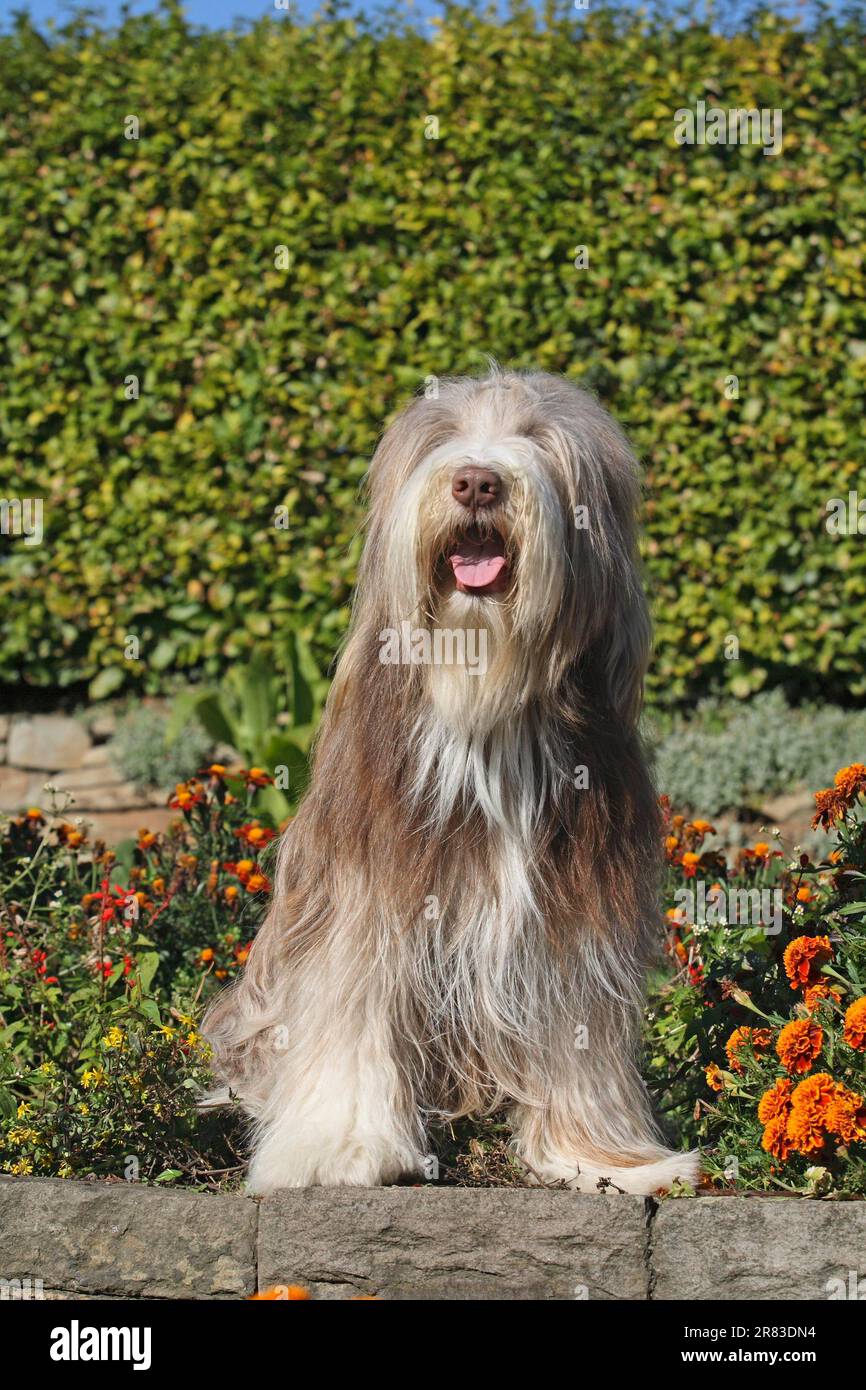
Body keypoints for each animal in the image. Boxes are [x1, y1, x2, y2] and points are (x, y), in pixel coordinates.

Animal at [204, 369, 706, 1195]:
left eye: (538, 438)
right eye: (443, 438)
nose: (477, 481)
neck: (483, 706)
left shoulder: (576, 908)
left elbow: (577, 1027)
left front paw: (605, 1159)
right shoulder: (364, 886)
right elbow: (351, 1004)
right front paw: (338, 1150)